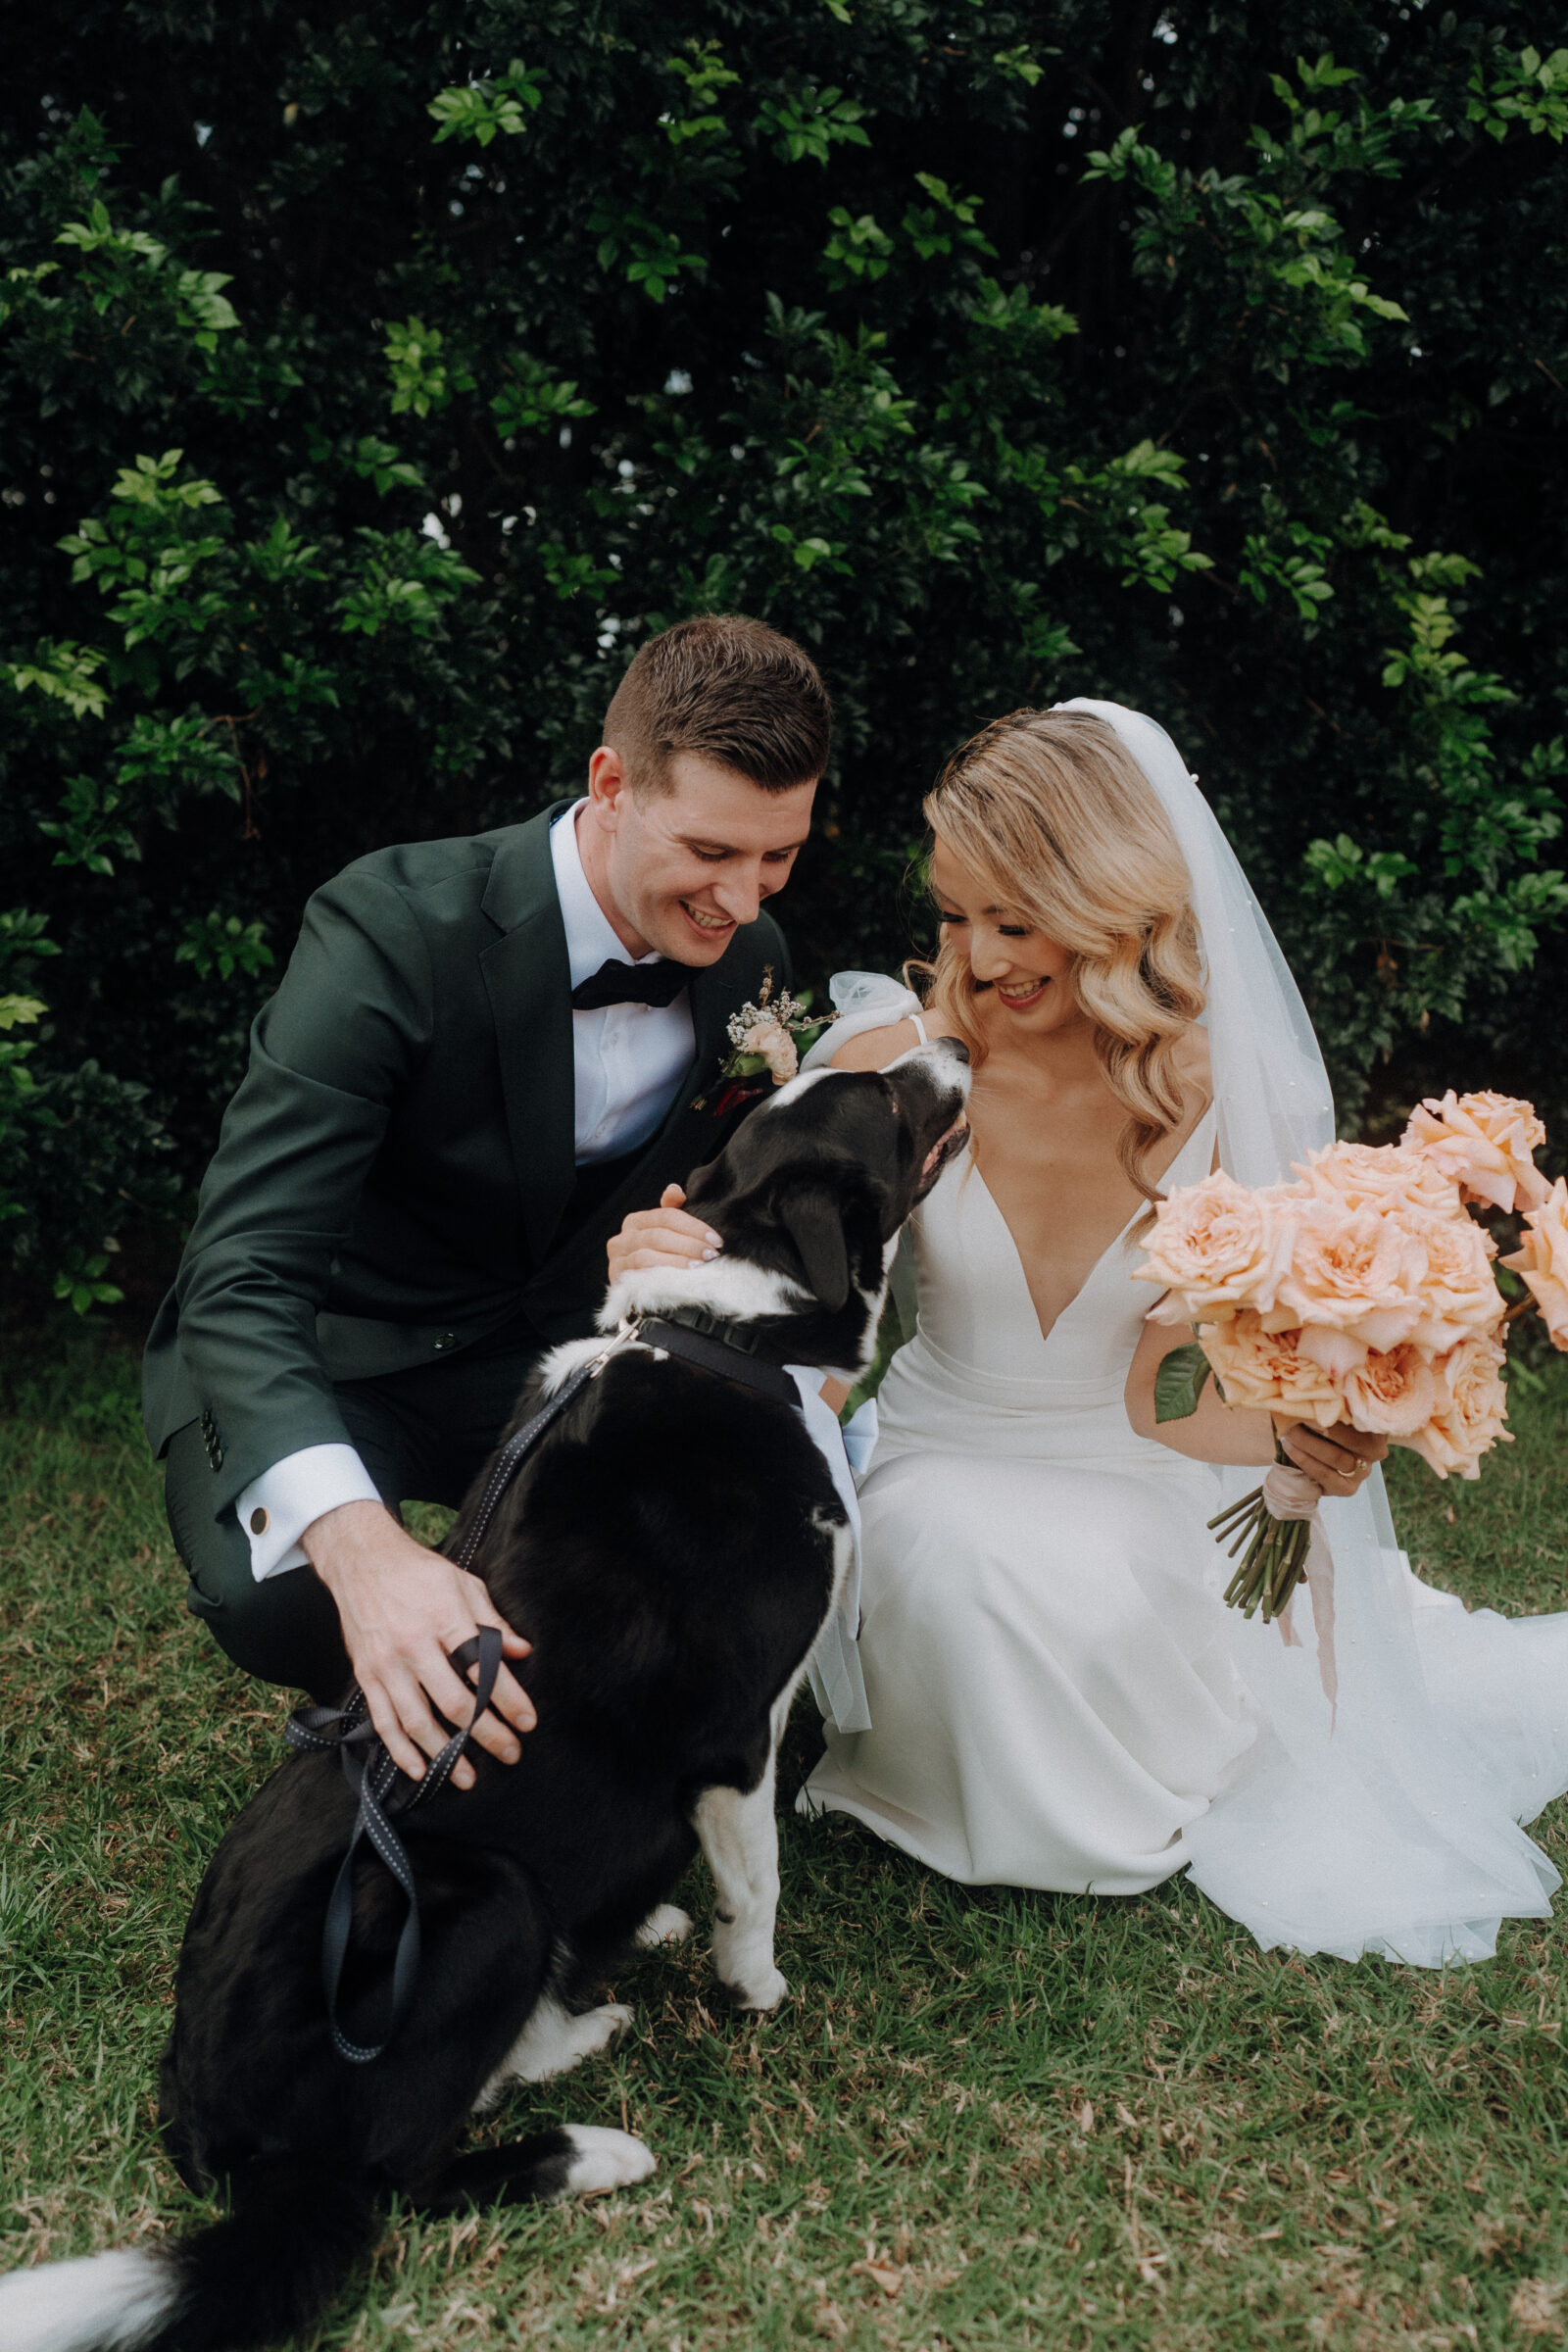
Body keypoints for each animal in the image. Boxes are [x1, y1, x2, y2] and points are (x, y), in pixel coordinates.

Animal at [3, 1044, 968, 2352]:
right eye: (888, 1100)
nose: (951, 1047)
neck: (730, 1335)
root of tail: (226, 2143)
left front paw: (667, 1931)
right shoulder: (736, 1735)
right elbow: (757, 1882)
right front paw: (755, 1984)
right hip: (482, 1902)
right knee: (400, 2182)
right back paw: (591, 2141)